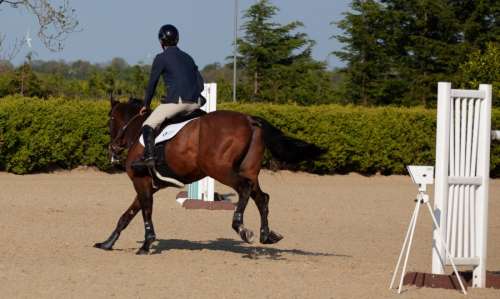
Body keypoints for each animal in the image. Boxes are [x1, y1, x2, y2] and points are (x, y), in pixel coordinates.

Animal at [94, 98, 324, 255]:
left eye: (110, 119)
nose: (112, 149)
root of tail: (250, 119)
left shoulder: (141, 182)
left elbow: (145, 212)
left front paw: (146, 244)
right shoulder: (148, 185)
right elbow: (127, 215)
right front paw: (107, 243)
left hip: (220, 170)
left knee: (244, 189)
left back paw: (241, 227)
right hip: (248, 171)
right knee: (261, 197)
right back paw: (266, 235)